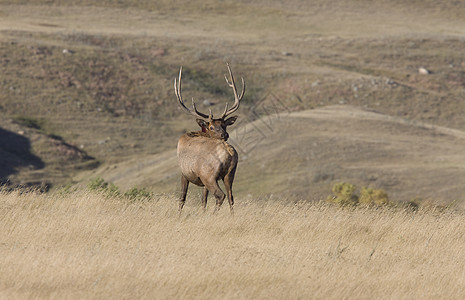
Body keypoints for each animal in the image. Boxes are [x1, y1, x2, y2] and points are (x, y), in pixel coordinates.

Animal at [174, 63, 245, 213]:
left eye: (225, 125)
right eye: (212, 127)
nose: (225, 135)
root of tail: (229, 152)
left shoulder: (184, 172)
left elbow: (182, 199)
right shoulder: (202, 181)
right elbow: (203, 200)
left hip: (209, 175)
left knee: (221, 195)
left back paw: (213, 214)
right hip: (229, 174)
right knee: (231, 197)